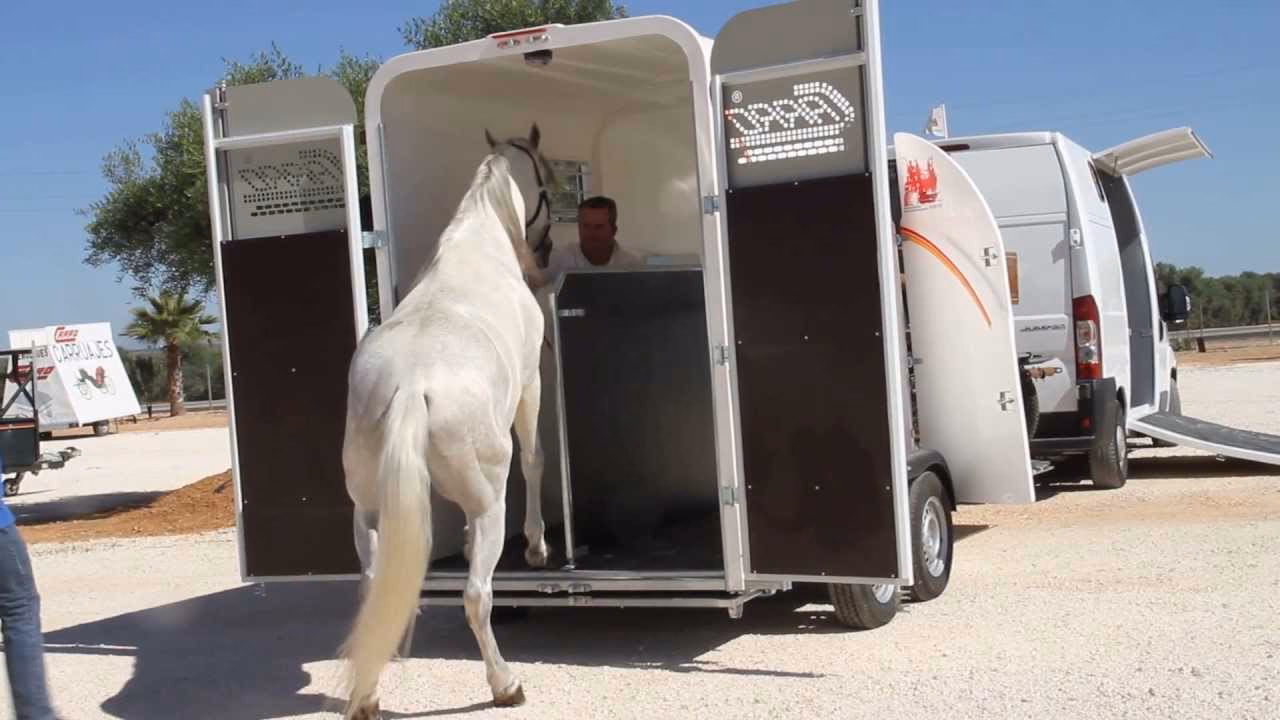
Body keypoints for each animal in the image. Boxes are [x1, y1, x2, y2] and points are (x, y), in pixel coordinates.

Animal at [337, 124, 556, 719]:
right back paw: (505, 685)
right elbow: (535, 459)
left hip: (368, 510)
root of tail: (412, 386)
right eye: (548, 176)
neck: (478, 245)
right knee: (477, 595)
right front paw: (538, 546)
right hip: (489, 504)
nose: (546, 246)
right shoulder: (531, 384)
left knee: (374, 590)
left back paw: (367, 694)